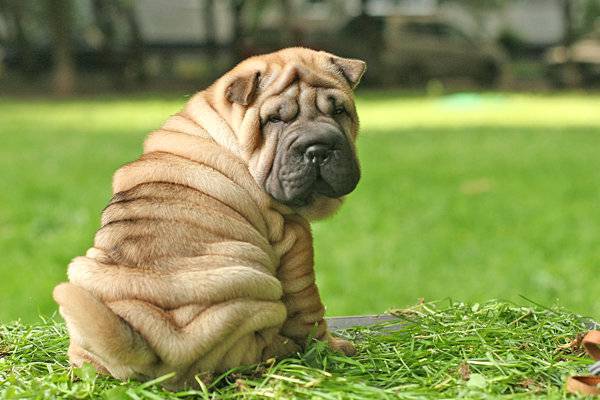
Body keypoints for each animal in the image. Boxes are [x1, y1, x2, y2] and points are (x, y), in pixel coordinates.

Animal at [54, 46, 366, 388]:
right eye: (274, 119)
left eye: (339, 111)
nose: (318, 148)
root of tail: (149, 343)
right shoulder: (294, 238)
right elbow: (308, 306)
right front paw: (334, 348)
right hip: (250, 288)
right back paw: (281, 351)